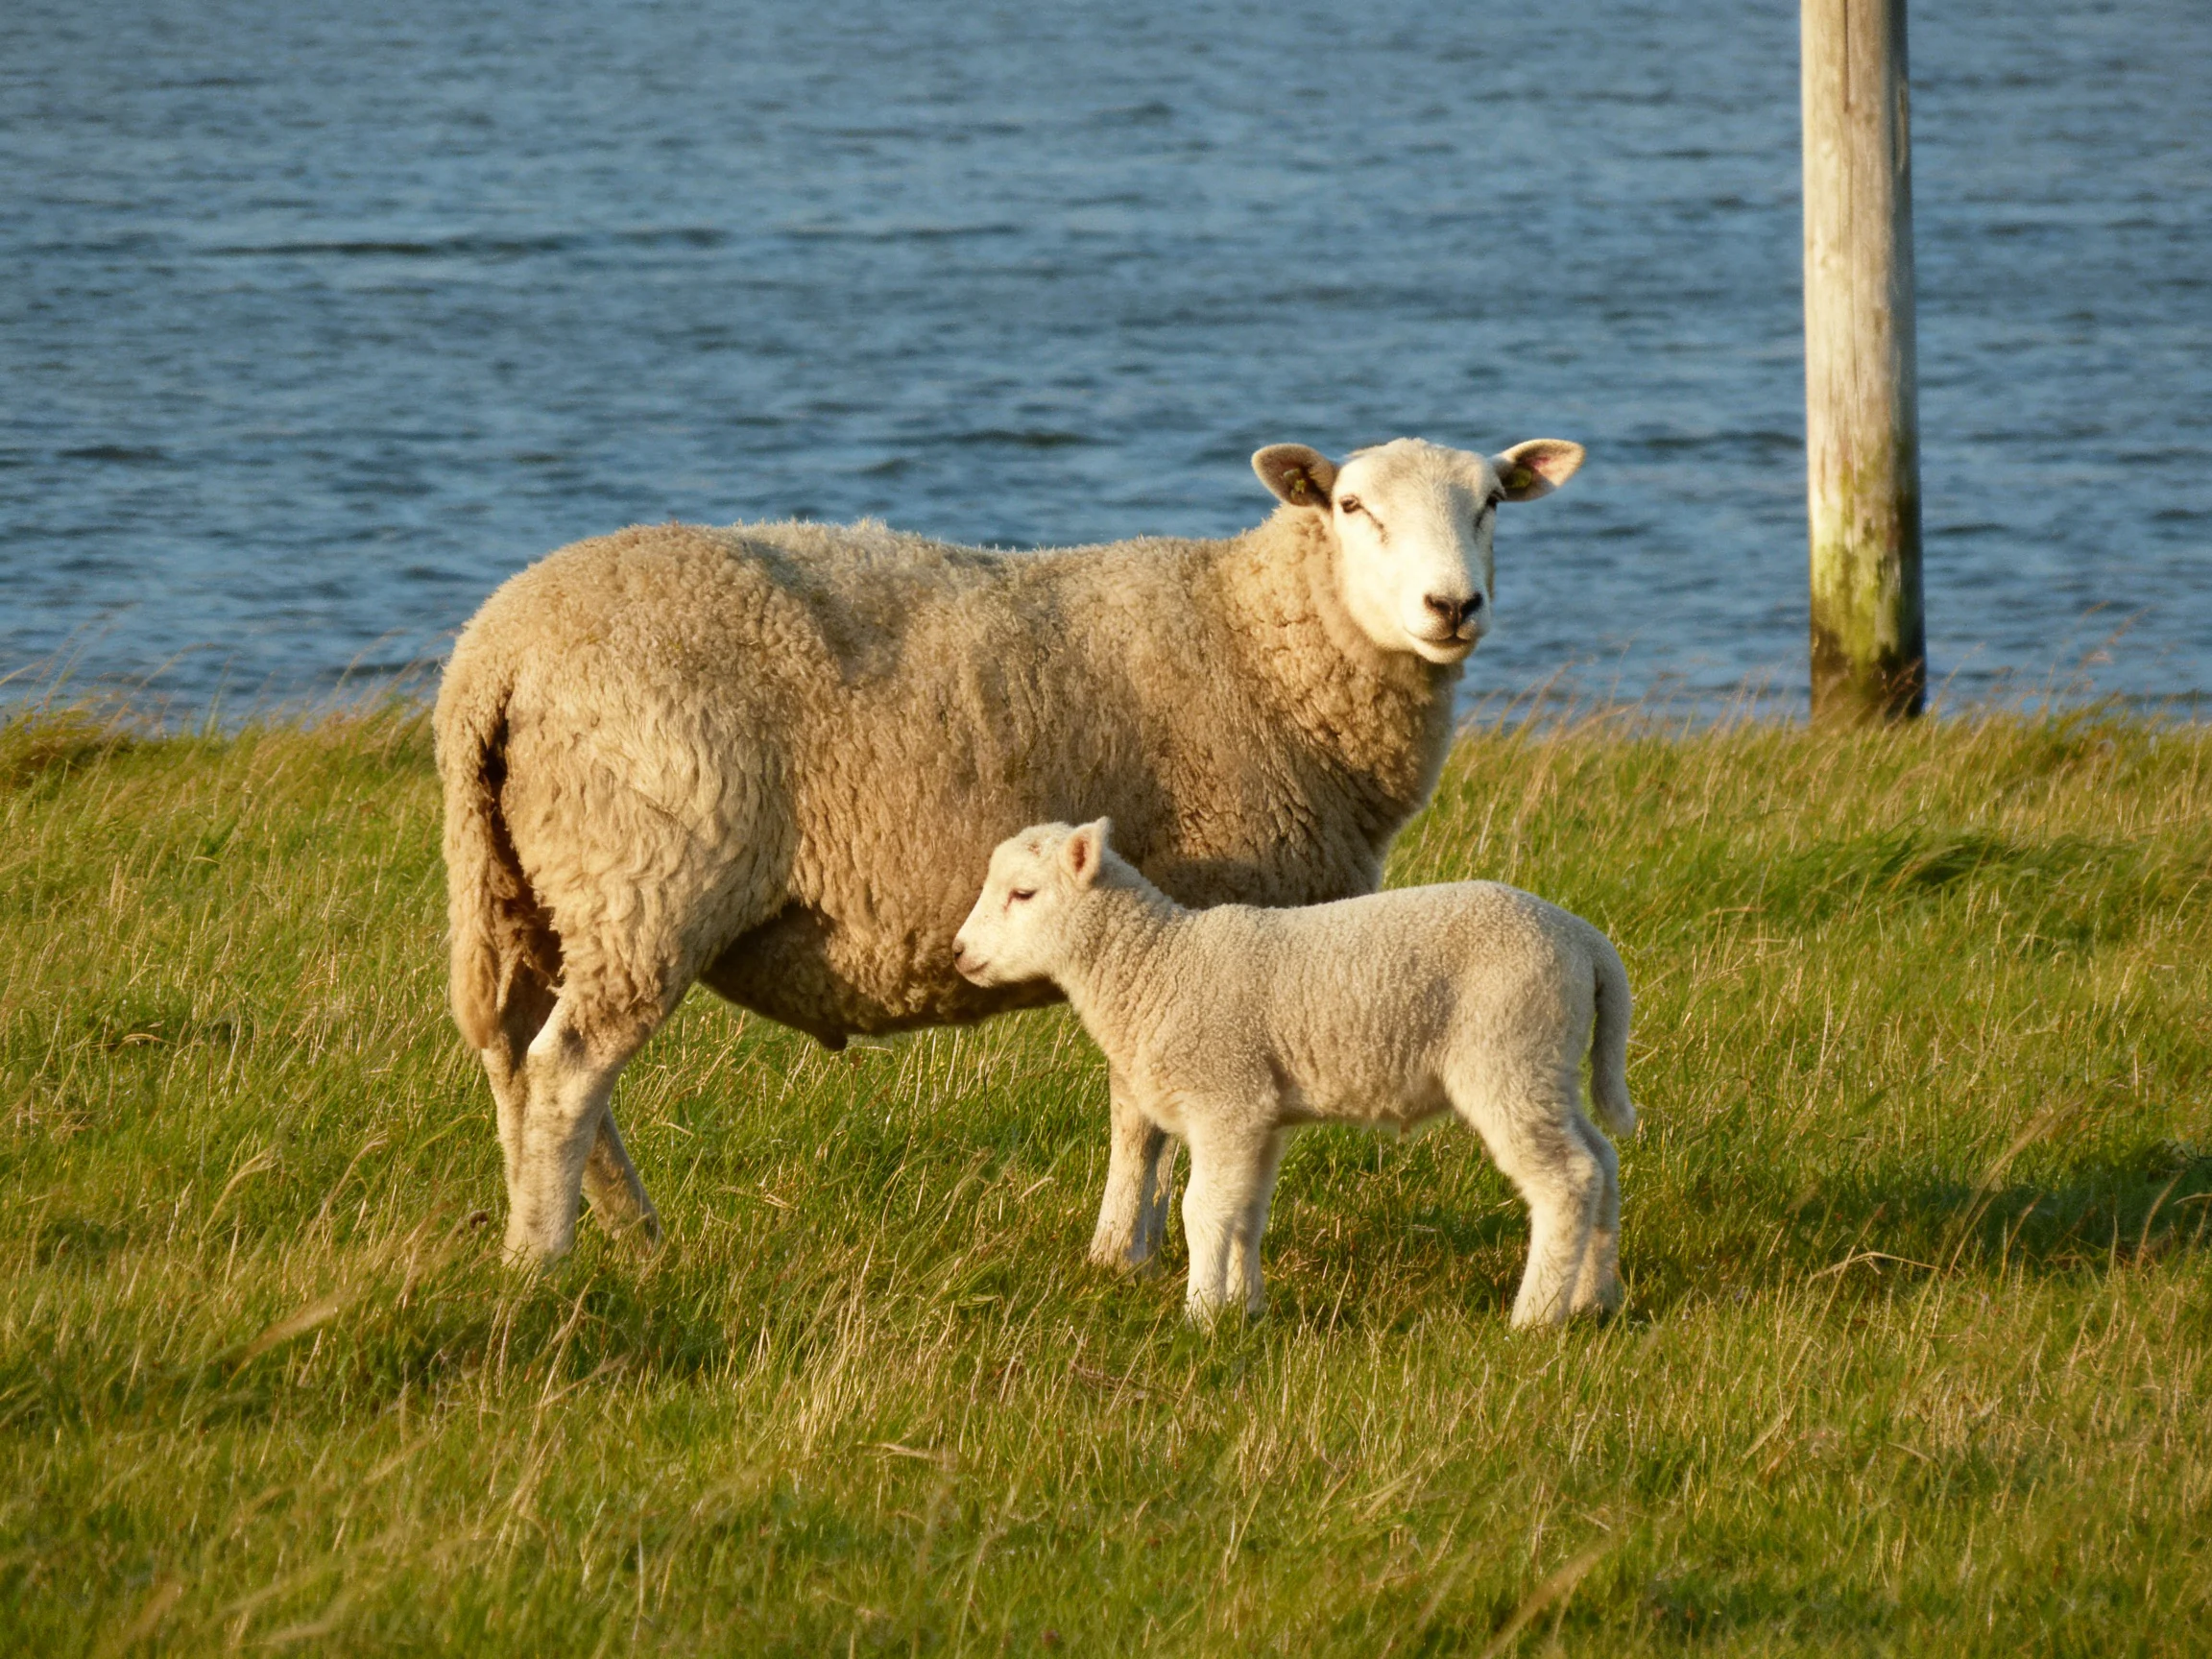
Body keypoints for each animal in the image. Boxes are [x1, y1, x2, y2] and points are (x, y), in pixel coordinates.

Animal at [436, 435, 1586, 1266]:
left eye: (1491, 502)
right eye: (1353, 508)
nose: (1452, 606)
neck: (1258, 641)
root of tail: (497, 652)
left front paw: (1129, 1248)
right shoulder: (1191, 913)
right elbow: (1142, 1114)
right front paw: (1124, 1255)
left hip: (524, 888)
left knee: (517, 1061)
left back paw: (605, 1234)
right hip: (646, 879)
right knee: (569, 1075)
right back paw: (549, 1258)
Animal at [951, 819, 1636, 1326]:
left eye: (1023, 894)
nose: (958, 953)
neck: (1156, 968)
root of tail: (1583, 941)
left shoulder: (1225, 1097)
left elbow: (1203, 1210)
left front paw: (1199, 1316)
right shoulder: (1261, 1114)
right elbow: (1246, 1212)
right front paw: (1244, 1309)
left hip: (1506, 1052)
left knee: (1566, 1179)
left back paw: (1534, 1318)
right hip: (1547, 1062)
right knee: (1601, 1160)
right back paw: (1592, 1299)